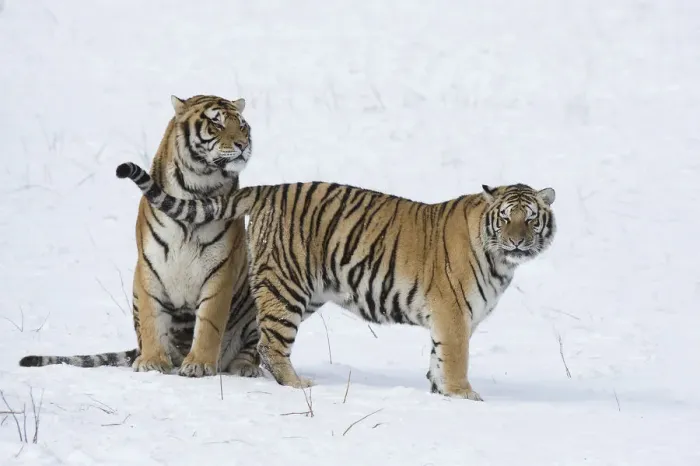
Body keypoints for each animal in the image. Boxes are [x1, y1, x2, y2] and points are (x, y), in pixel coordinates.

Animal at [19, 95, 263, 379]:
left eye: (243, 125)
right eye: (217, 124)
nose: (243, 145)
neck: (197, 190)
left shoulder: (220, 270)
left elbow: (209, 323)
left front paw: (199, 364)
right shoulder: (150, 264)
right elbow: (151, 318)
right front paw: (152, 361)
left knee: (252, 349)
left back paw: (243, 367)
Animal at [115, 161, 557, 399]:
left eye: (531, 218)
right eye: (506, 218)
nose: (518, 240)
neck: (500, 260)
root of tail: (271, 188)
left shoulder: (448, 319)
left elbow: (438, 358)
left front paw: (440, 392)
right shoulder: (453, 314)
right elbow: (456, 357)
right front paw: (464, 394)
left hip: (303, 292)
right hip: (287, 289)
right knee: (273, 346)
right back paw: (298, 385)